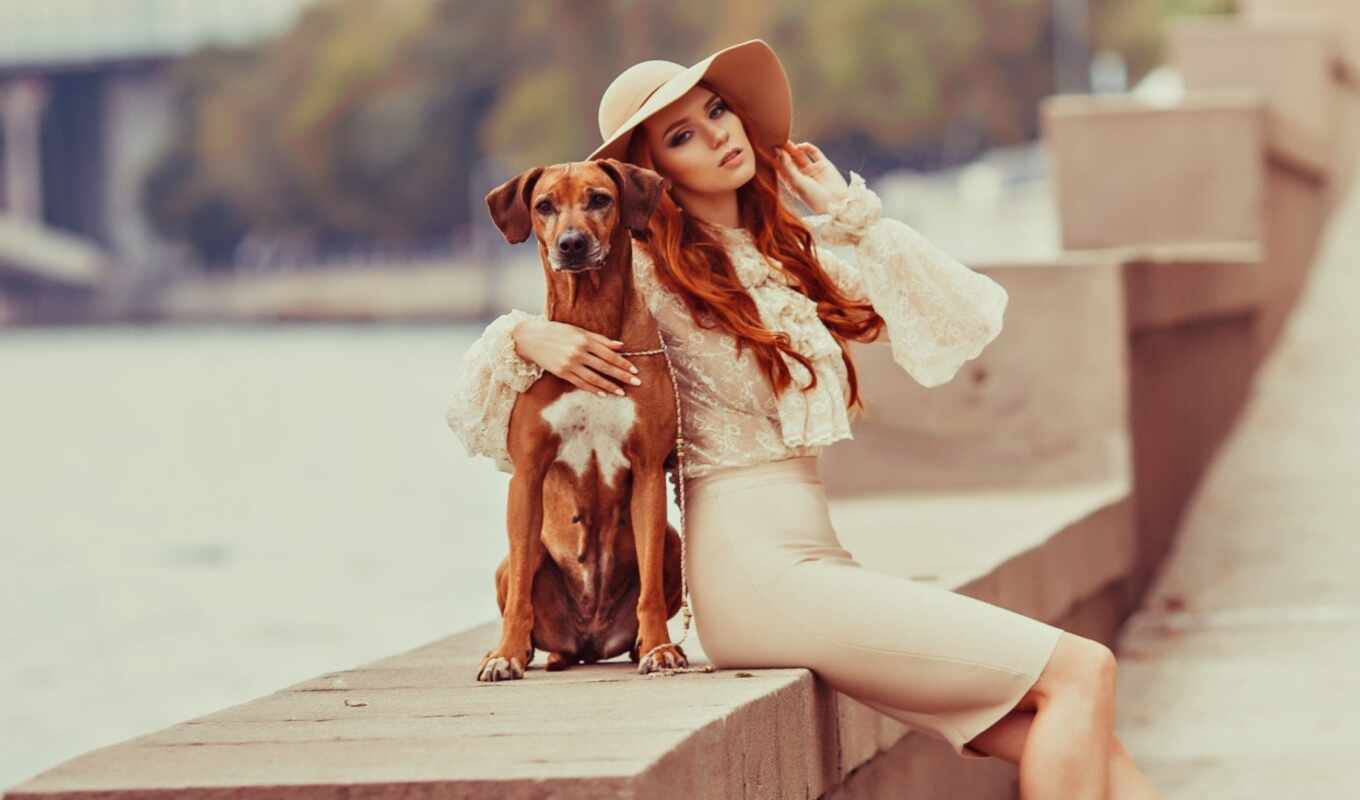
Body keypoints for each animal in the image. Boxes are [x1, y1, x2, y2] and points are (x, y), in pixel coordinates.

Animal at [481, 157, 690, 680]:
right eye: (544, 205)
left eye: (599, 199)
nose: (571, 243)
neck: (589, 322)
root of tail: (589, 640)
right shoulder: (527, 474)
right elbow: (520, 591)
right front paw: (506, 653)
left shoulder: (647, 470)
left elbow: (650, 590)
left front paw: (660, 648)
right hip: (511, 561)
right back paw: (529, 652)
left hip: (674, 541)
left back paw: (640, 645)